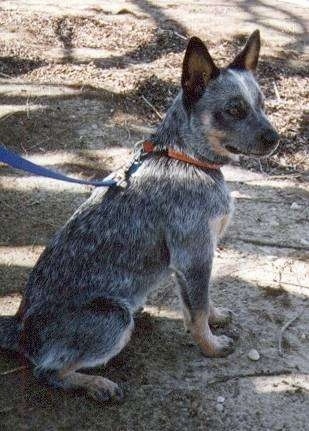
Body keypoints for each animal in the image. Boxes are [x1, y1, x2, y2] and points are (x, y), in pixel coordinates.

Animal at [0, 31, 280, 404]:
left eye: (262, 104)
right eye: (234, 109)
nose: (276, 138)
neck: (184, 157)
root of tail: (18, 326)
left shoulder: (191, 261)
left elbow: (200, 303)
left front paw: (216, 318)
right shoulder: (194, 255)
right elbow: (198, 311)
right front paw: (210, 346)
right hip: (113, 317)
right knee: (47, 371)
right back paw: (96, 384)